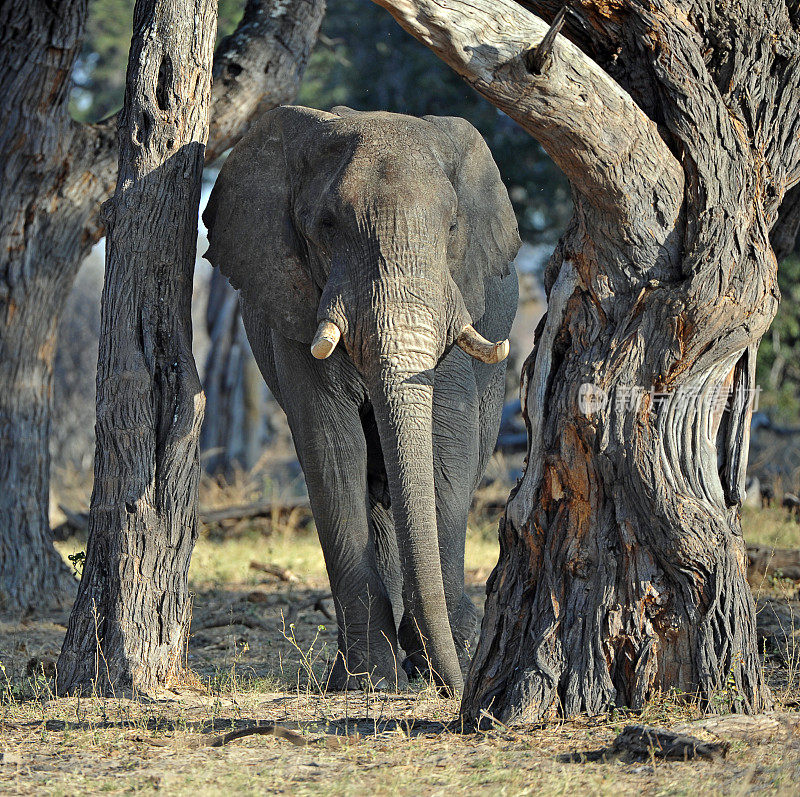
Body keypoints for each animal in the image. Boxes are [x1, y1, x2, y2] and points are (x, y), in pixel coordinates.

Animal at [203, 104, 520, 692]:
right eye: (328, 226)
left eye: (451, 227)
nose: (458, 691)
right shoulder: (296, 305)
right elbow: (333, 445)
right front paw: (369, 679)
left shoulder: (458, 295)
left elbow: (447, 441)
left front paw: (447, 659)